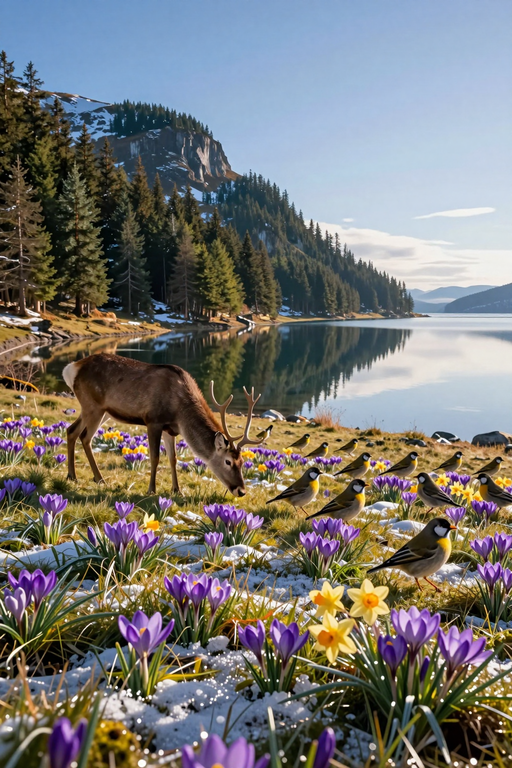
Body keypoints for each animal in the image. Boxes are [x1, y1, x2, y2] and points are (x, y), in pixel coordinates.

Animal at [62, 353, 264, 496]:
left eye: (243, 462)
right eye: (228, 461)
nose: (241, 491)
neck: (180, 412)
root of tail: (71, 368)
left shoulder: (170, 429)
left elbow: (173, 458)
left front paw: (177, 490)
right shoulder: (153, 420)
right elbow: (155, 457)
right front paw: (152, 489)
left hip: (100, 410)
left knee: (71, 430)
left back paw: (72, 475)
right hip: (93, 405)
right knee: (85, 436)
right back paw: (99, 478)